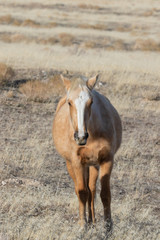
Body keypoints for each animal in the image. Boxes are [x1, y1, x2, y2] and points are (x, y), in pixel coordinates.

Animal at [52, 75, 122, 229]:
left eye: (91, 101)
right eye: (69, 102)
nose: (81, 137)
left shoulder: (106, 160)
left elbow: (105, 194)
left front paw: (108, 227)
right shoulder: (77, 162)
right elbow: (82, 192)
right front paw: (82, 225)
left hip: (93, 165)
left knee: (92, 190)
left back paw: (93, 220)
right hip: (72, 164)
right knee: (82, 190)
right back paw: (87, 221)